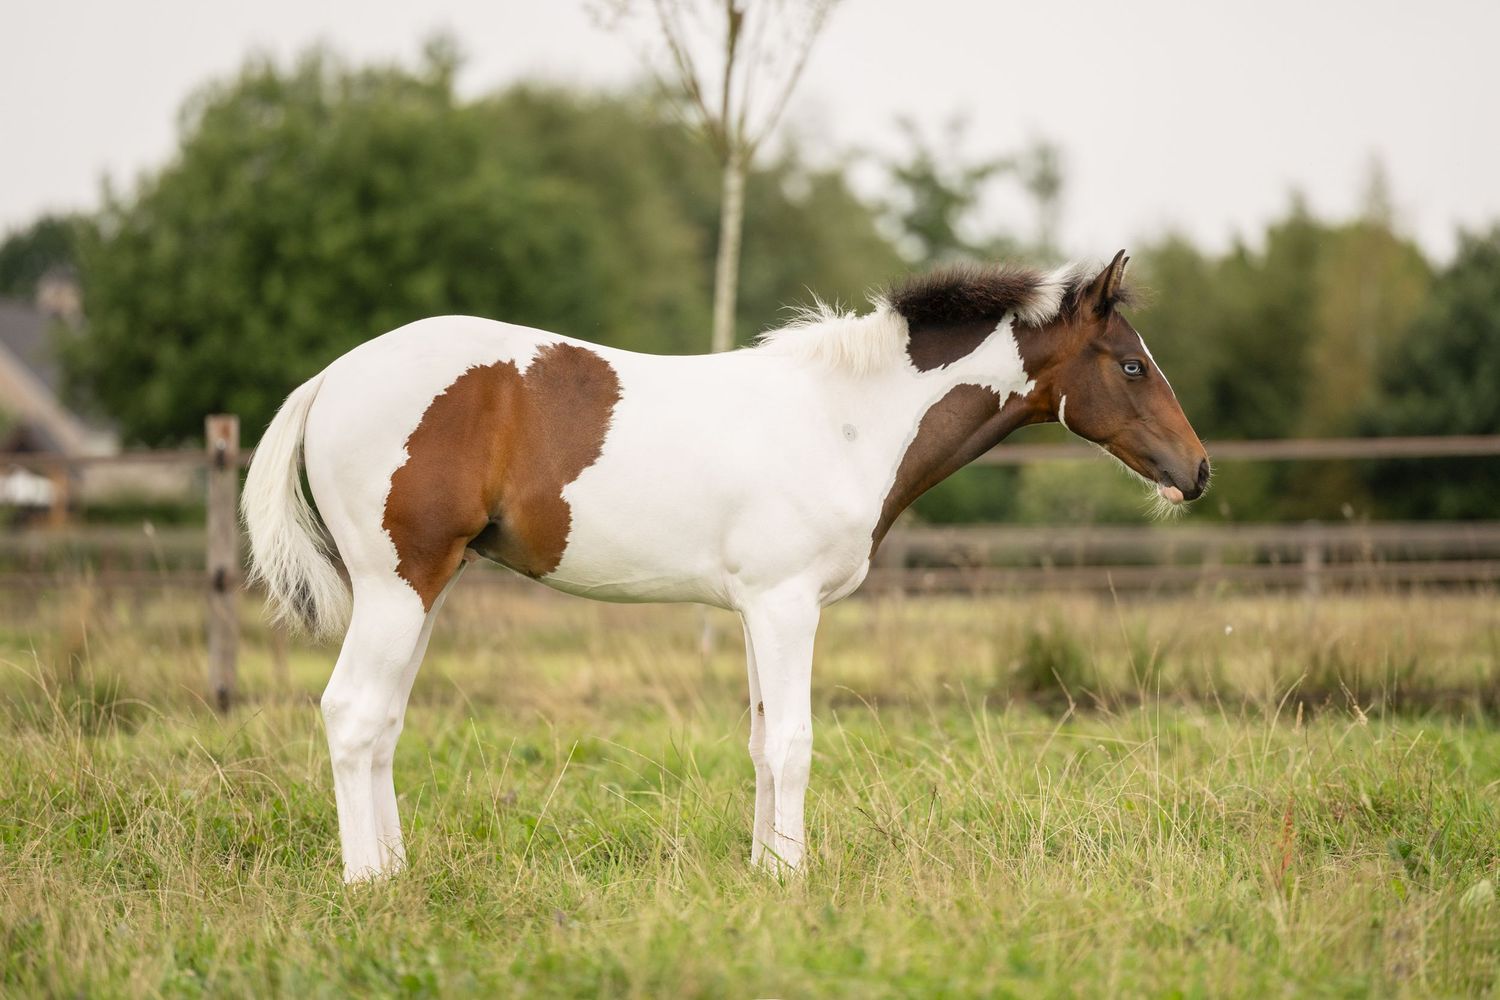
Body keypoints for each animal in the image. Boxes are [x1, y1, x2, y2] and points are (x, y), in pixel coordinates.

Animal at [241, 250, 1210, 882]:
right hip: (398, 586)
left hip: (425, 590)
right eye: (1132, 364)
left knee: (383, 724)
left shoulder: (755, 610)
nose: (1197, 471)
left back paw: (397, 870)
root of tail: (332, 378)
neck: (844, 418)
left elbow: (759, 743)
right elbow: (793, 742)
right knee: (352, 715)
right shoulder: (787, 608)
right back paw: (368, 884)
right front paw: (792, 878)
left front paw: (762, 871)